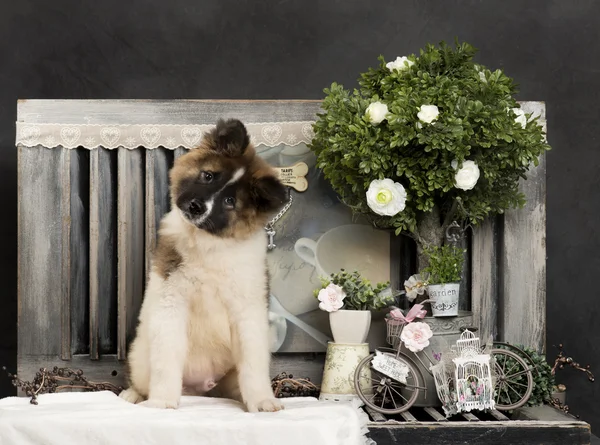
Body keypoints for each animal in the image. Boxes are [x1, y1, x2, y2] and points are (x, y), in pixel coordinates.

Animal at [120, 119, 288, 412]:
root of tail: (200, 388)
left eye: (230, 202)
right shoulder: (171, 304)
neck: (209, 245)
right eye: (208, 176)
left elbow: (253, 364)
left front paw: (262, 401)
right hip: (140, 355)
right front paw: (162, 401)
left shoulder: (248, 312)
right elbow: (166, 361)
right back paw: (134, 395)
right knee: (142, 379)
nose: (197, 206)